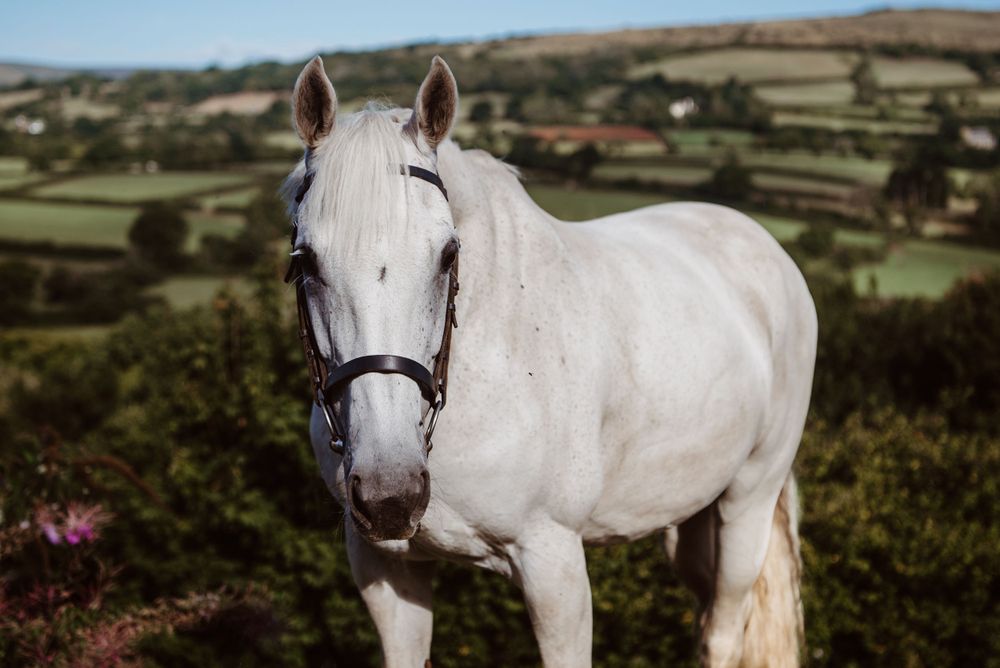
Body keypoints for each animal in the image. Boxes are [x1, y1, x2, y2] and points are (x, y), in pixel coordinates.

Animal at [283, 54, 817, 667]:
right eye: (306, 260)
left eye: (448, 253)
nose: (389, 492)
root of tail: (764, 246)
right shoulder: (384, 568)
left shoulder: (554, 566)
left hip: (749, 499)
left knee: (726, 627)